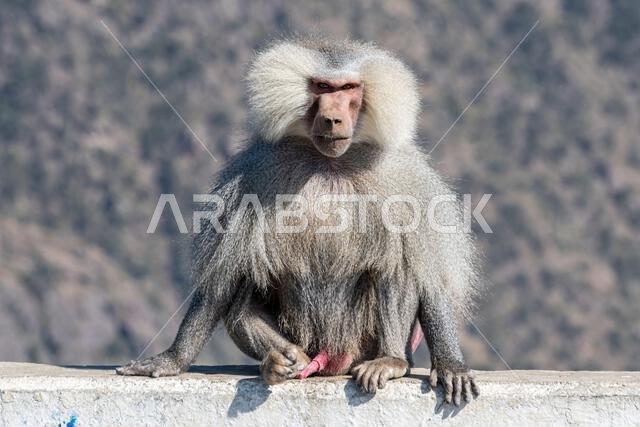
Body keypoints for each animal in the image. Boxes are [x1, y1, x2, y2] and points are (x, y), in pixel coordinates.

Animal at [117, 36, 481, 406]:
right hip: (303, 338)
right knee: (242, 299)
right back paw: (280, 362)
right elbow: (222, 277)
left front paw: (451, 366)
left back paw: (389, 361)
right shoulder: (255, 171)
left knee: (396, 264)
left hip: (361, 341)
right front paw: (172, 359)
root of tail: (331, 359)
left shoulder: (405, 178)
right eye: (322, 87)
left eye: (348, 88)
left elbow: (427, 272)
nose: (332, 119)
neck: (331, 162)